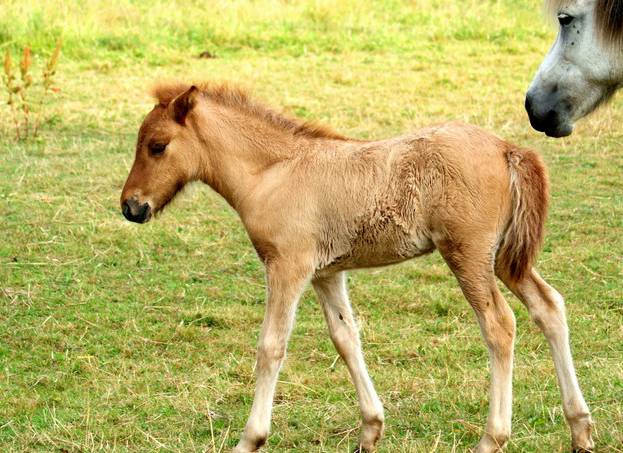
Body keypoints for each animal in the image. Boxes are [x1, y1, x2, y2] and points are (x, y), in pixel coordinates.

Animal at [120, 82, 596, 452]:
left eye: (157, 146)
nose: (131, 206)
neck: (274, 173)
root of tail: (506, 148)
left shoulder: (287, 267)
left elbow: (271, 346)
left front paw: (250, 438)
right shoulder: (327, 273)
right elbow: (346, 339)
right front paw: (371, 430)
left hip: (468, 254)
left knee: (499, 324)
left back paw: (492, 438)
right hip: (503, 258)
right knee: (549, 307)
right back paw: (580, 430)